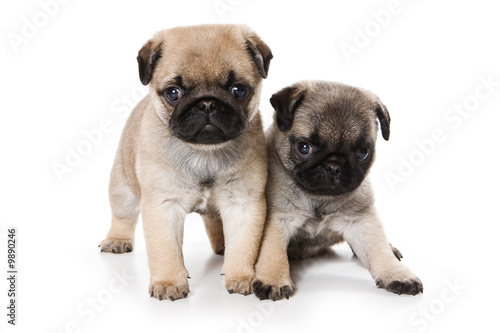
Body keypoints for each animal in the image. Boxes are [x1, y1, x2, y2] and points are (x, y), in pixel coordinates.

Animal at [100, 24, 274, 300]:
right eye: (174, 93)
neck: (204, 153)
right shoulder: (163, 207)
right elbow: (166, 250)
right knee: (122, 216)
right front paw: (169, 282)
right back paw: (117, 240)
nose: (207, 103)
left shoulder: (243, 204)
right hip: (122, 187)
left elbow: (244, 246)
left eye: (238, 90)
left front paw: (241, 276)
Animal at [254, 81, 422, 300]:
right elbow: (274, 253)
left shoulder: (362, 220)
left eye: (362, 153)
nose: (334, 165)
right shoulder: (277, 221)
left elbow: (378, 248)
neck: (319, 198)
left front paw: (397, 274)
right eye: (304, 148)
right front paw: (272, 279)